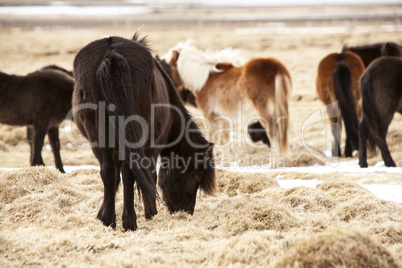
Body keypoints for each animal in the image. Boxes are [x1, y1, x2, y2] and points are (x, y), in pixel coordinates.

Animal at [72, 34, 217, 230]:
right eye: (196, 176)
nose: (186, 211)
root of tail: (111, 54)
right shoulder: (152, 147)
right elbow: (151, 175)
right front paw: (151, 212)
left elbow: (115, 179)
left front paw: (102, 214)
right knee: (128, 172)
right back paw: (129, 221)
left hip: (99, 141)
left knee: (109, 172)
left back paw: (110, 220)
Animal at [163, 42, 292, 155]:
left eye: (169, 65)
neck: (205, 79)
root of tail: (276, 68)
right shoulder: (224, 118)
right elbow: (225, 140)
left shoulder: (210, 116)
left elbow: (212, 138)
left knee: (273, 133)